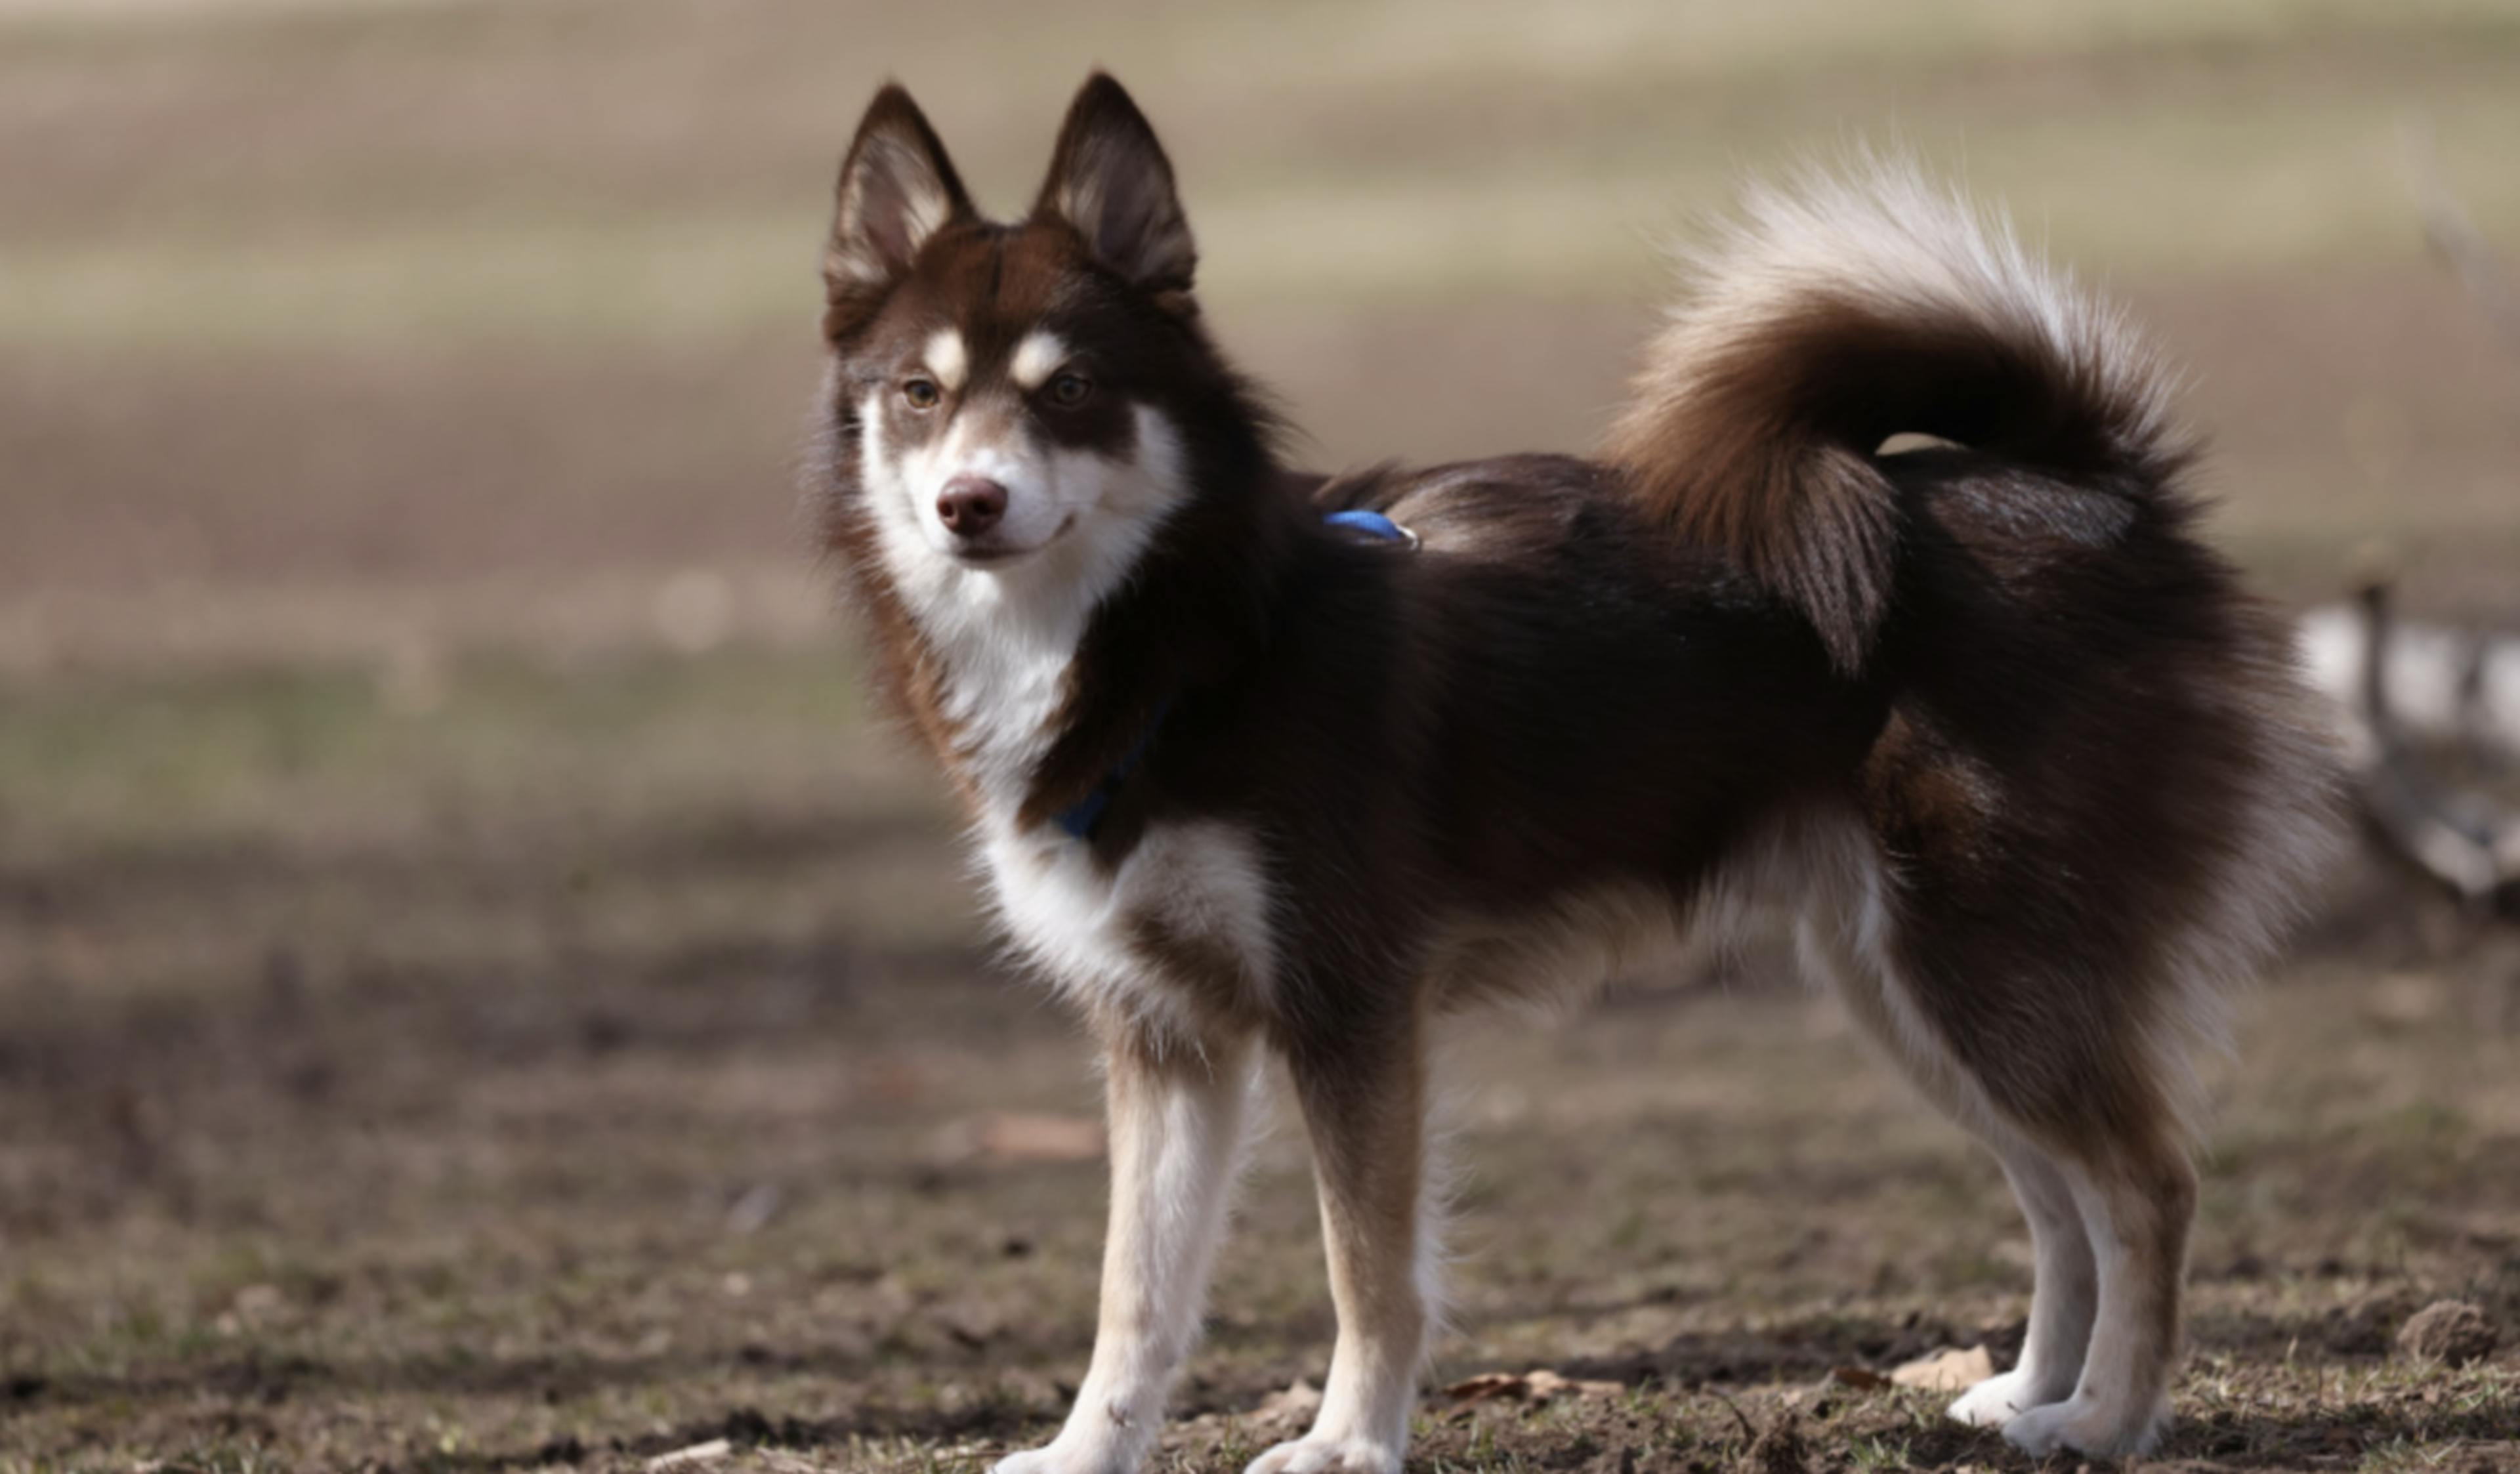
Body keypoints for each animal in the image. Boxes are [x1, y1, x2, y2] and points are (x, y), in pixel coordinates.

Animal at [806, 74, 2338, 1471]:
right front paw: (1086, 1451)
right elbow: (1135, 1289)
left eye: (1069, 391)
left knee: (2145, 1184)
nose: (967, 505)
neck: (1188, 638)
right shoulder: (1162, 1037)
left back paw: (2109, 1419)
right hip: (1917, 989)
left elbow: (1369, 1266)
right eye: (919, 393)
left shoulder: (1349, 1011)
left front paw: (1348, 1444)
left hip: (1988, 967)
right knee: (2059, 1197)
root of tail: (2093, 490)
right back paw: (2030, 1398)